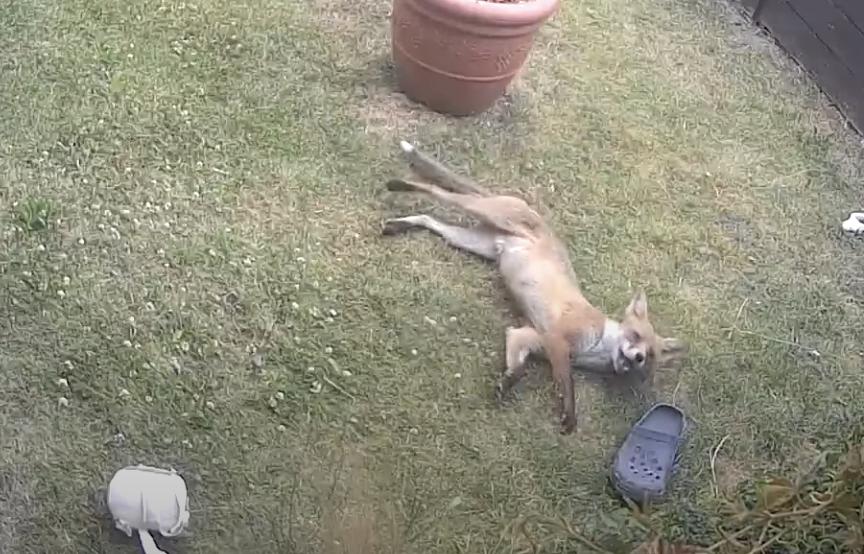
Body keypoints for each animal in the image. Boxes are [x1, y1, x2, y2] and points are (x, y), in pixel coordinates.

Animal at [381, 141, 687, 434]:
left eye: (650, 356)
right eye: (635, 336)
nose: (636, 359)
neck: (598, 343)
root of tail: (529, 209)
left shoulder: (526, 337)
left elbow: (518, 368)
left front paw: (506, 383)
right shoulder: (556, 340)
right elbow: (567, 383)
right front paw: (569, 416)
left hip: (468, 241)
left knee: (428, 219)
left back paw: (398, 224)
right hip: (482, 211)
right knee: (436, 190)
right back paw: (399, 184)